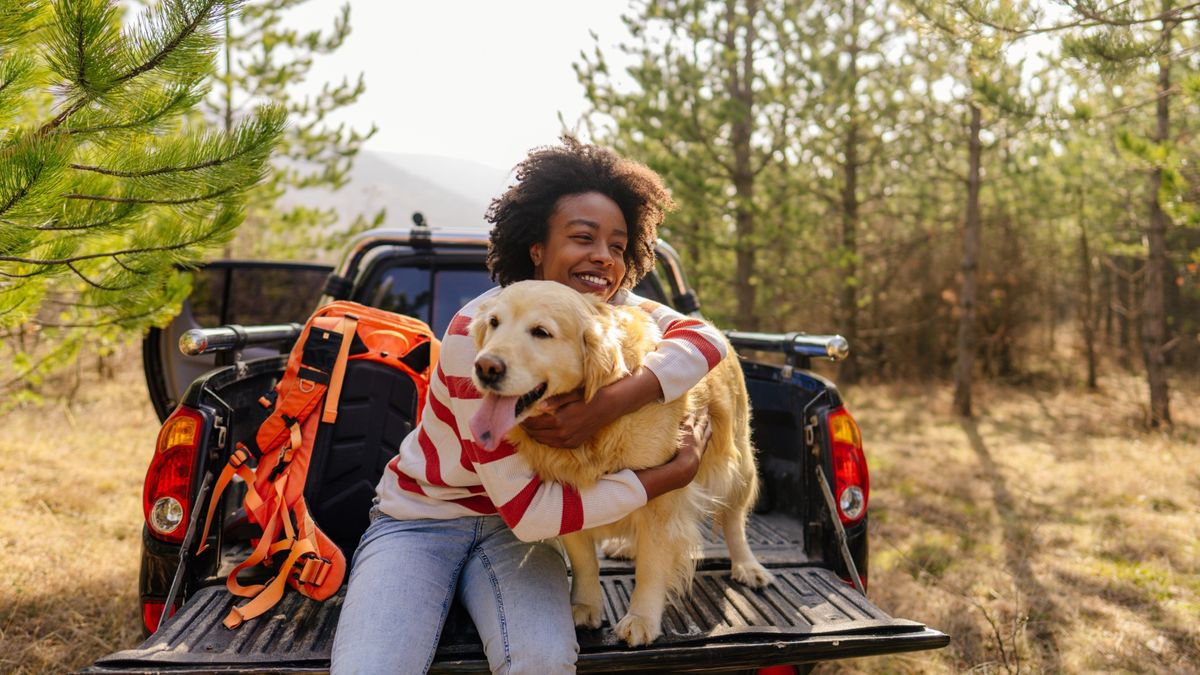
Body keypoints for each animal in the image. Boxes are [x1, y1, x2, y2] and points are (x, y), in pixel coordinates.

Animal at [463, 279, 772, 648]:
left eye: (541, 332)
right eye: (494, 322)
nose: (485, 367)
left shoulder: (662, 501)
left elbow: (652, 566)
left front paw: (641, 618)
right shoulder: (568, 494)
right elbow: (584, 560)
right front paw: (584, 605)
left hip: (738, 465)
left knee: (734, 519)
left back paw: (747, 566)